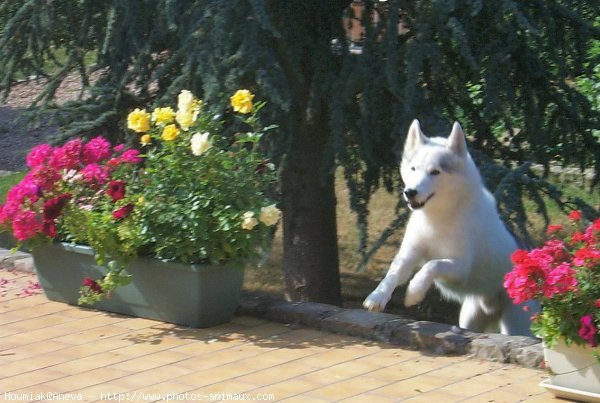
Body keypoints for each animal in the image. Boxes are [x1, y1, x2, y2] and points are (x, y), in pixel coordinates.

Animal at [364, 120, 536, 338]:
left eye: (435, 172)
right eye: (413, 169)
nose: (410, 192)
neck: (437, 219)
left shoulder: (460, 267)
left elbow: (432, 265)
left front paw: (414, 292)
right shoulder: (409, 255)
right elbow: (393, 274)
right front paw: (377, 297)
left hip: (516, 324)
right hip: (469, 318)